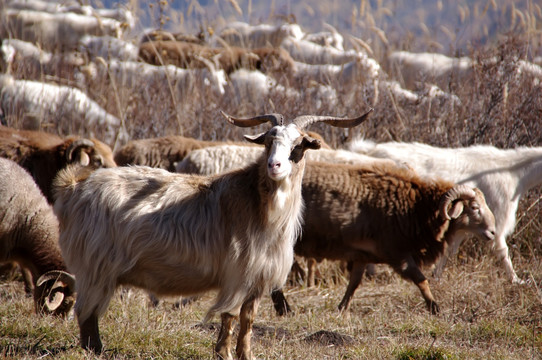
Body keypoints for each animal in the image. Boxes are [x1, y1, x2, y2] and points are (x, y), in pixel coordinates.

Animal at [348, 140, 542, 284]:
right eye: (475, 207)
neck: (515, 174)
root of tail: (368, 151)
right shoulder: (497, 220)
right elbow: (503, 251)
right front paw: (516, 280)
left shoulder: (466, 225)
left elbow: (450, 249)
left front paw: (437, 276)